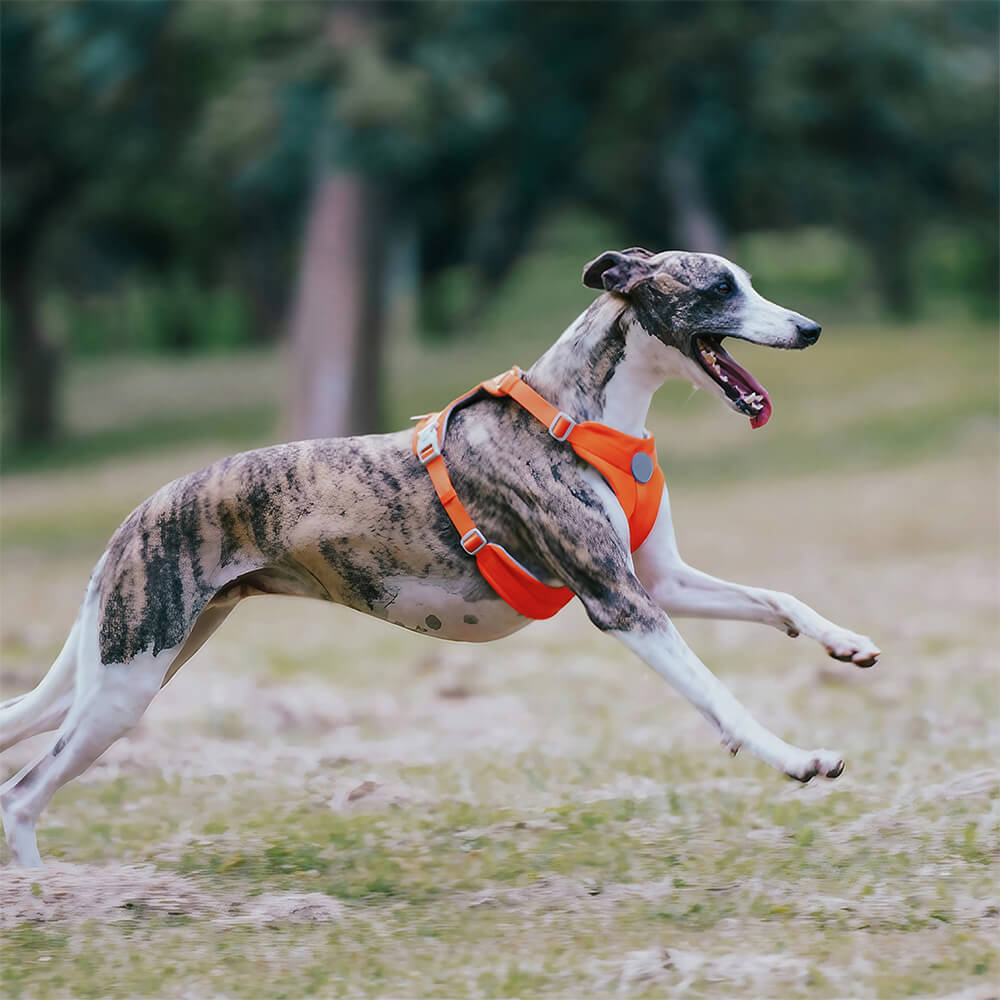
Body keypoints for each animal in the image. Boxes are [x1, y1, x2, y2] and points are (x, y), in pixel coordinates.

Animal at [0, 250, 880, 868]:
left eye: (749, 282)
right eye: (719, 289)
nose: (810, 328)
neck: (583, 415)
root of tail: (135, 515)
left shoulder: (658, 581)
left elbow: (778, 599)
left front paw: (846, 643)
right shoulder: (620, 601)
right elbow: (719, 697)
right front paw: (799, 759)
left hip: (129, 666)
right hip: (124, 686)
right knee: (22, 793)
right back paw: (52, 903)